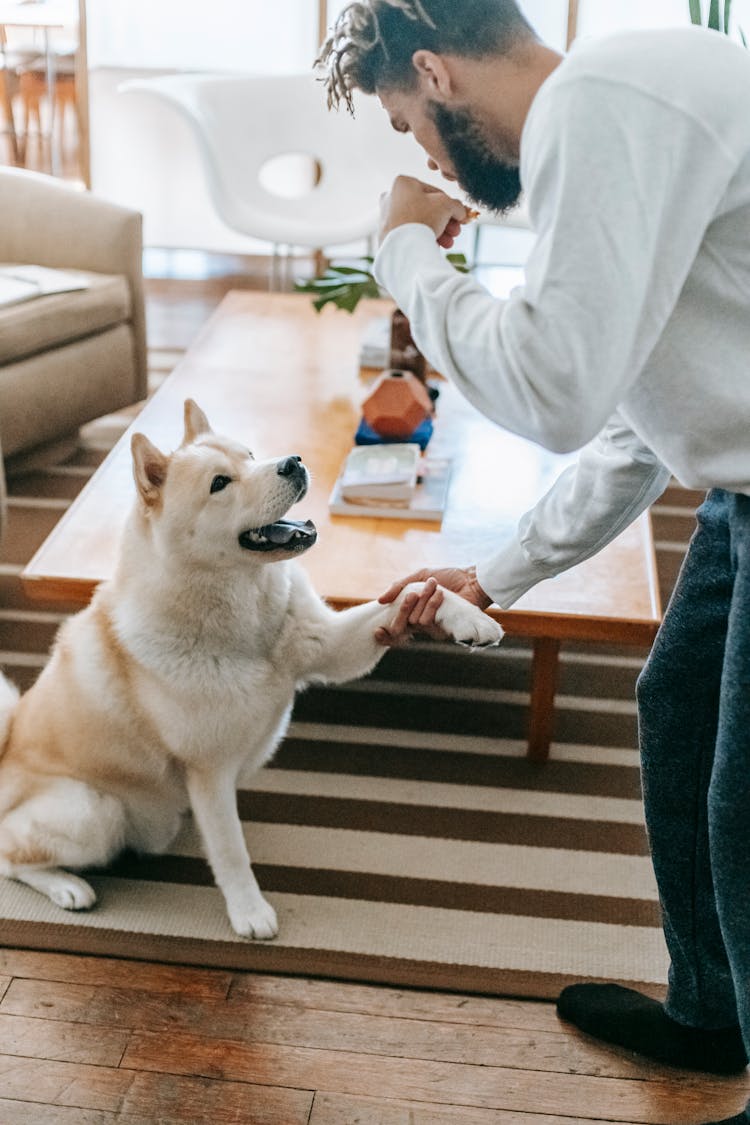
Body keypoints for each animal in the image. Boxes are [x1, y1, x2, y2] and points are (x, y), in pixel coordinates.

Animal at [0, 400, 503, 936]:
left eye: (250, 455)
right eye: (220, 483)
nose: (293, 463)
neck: (251, 626)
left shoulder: (332, 648)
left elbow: (413, 591)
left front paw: (467, 616)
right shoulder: (210, 771)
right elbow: (230, 850)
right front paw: (249, 911)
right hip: (94, 812)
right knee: (13, 858)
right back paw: (67, 887)